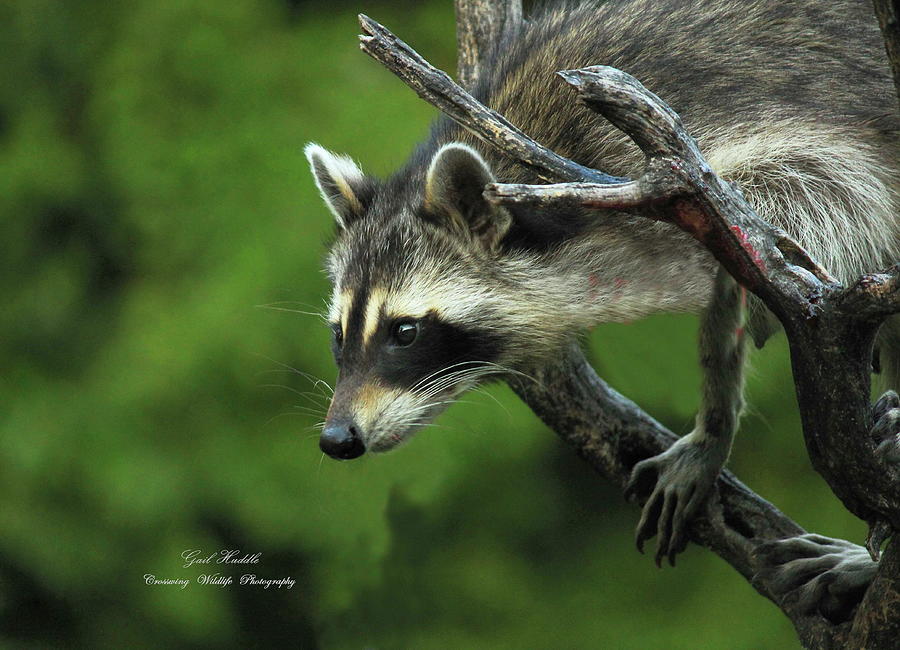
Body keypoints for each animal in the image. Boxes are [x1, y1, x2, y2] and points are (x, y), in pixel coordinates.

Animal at [304, 0, 900, 556]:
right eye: (338, 334)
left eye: (404, 332)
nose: (337, 438)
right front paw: (714, 425)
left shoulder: (719, 144)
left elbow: (827, 207)